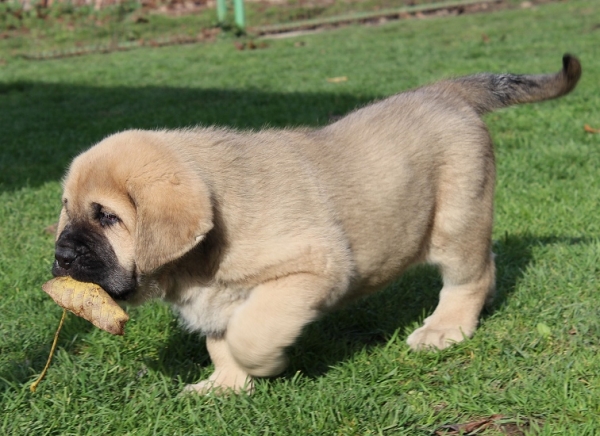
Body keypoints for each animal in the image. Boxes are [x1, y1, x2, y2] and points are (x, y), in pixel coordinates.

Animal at [52, 54, 580, 392]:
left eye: (107, 217)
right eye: (66, 209)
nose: (61, 255)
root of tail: (443, 91)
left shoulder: (309, 271)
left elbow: (251, 331)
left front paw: (262, 364)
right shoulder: (215, 303)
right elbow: (221, 343)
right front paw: (224, 385)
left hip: (456, 219)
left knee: (469, 277)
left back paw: (444, 329)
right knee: (487, 264)